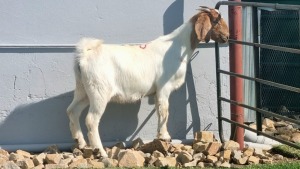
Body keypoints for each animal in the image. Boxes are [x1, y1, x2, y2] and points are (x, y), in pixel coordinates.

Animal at [67, 6, 229, 157]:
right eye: (216, 20)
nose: (227, 37)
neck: (178, 47)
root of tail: (84, 56)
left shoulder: (157, 91)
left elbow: (158, 109)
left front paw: (160, 136)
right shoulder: (164, 87)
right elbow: (165, 110)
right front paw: (166, 136)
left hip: (83, 89)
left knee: (72, 110)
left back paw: (80, 143)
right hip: (99, 91)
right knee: (91, 120)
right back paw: (100, 152)